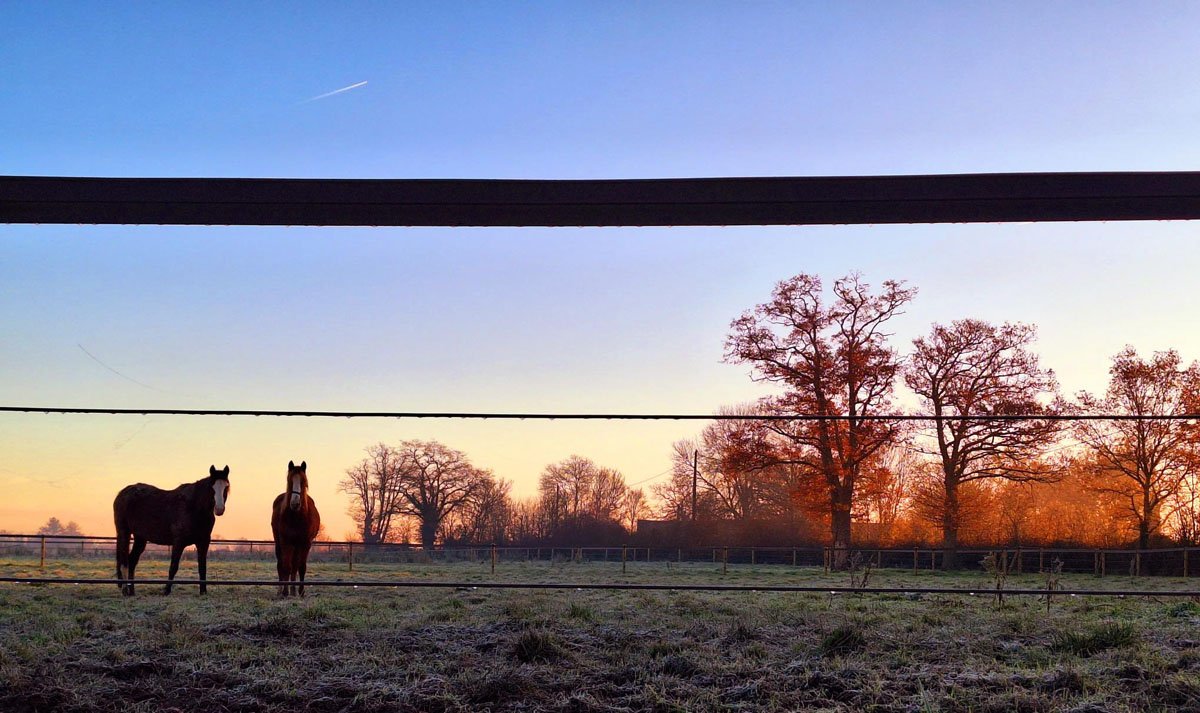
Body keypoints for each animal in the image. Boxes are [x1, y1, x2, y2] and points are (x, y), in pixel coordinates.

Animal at [113, 465, 230, 596]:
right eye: (211, 487)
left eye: (226, 486)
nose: (219, 509)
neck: (194, 508)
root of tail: (122, 494)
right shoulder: (179, 542)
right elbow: (173, 566)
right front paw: (166, 591)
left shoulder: (203, 542)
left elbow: (202, 567)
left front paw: (203, 592)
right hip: (124, 532)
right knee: (124, 561)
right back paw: (125, 590)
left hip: (140, 538)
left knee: (132, 560)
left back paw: (132, 591)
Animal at [271, 460, 321, 597]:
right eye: (289, 480)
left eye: (304, 481)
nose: (295, 503)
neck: (296, 517)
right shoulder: (286, 542)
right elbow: (286, 566)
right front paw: (285, 591)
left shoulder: (305, 543)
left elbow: (301, 567)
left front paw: (301, 591)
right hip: (279, 543)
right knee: (281, 565)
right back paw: (281, 590)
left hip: (297, 545)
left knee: (295, 565)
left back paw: (293, 590)